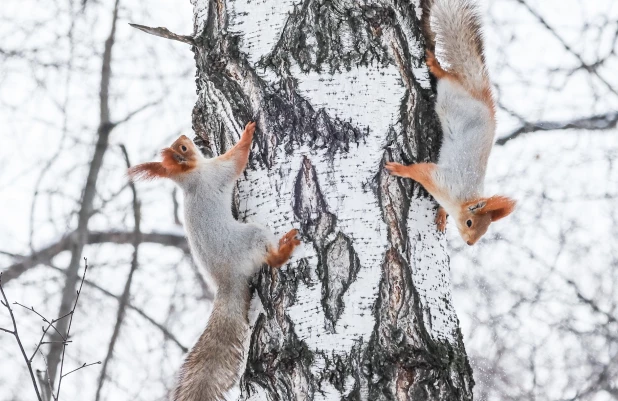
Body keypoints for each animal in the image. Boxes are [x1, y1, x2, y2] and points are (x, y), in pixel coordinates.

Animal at [127, 120, 298, 398]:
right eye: (183, 149)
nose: (184, 136)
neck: (189, 178)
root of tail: (226, 280)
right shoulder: (216, 172)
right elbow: (237, 159)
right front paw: (247, 134)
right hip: (252, 236)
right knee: (271, 260)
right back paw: (285, 248)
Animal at [384, 0, 516, 245]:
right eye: (470, 222)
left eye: (485, 231)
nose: (470, 243)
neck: (461, 200)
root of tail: (479, 97)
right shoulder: (441, 179)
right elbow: (418, 170)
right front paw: (399, 169)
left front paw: (441, 216)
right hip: (450, 95)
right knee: (448, 77)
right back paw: (435, 65)